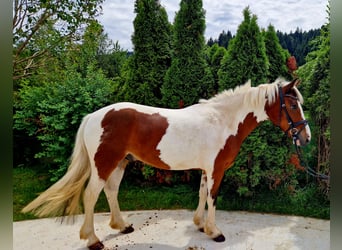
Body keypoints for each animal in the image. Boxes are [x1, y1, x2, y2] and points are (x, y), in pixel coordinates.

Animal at [22, 77, 310, 248]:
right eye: (292, 106)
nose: (305, 137)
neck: (222, 121)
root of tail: (94, 116)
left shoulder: (205, 169)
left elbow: (202, 194)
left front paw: (199, 224)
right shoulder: (216, 169)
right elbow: (213, 197)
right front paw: (214, 231)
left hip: (120, 163)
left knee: (111, 191)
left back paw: (122, 226)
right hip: (104, 164)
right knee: (91, 195)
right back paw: (93, 239)